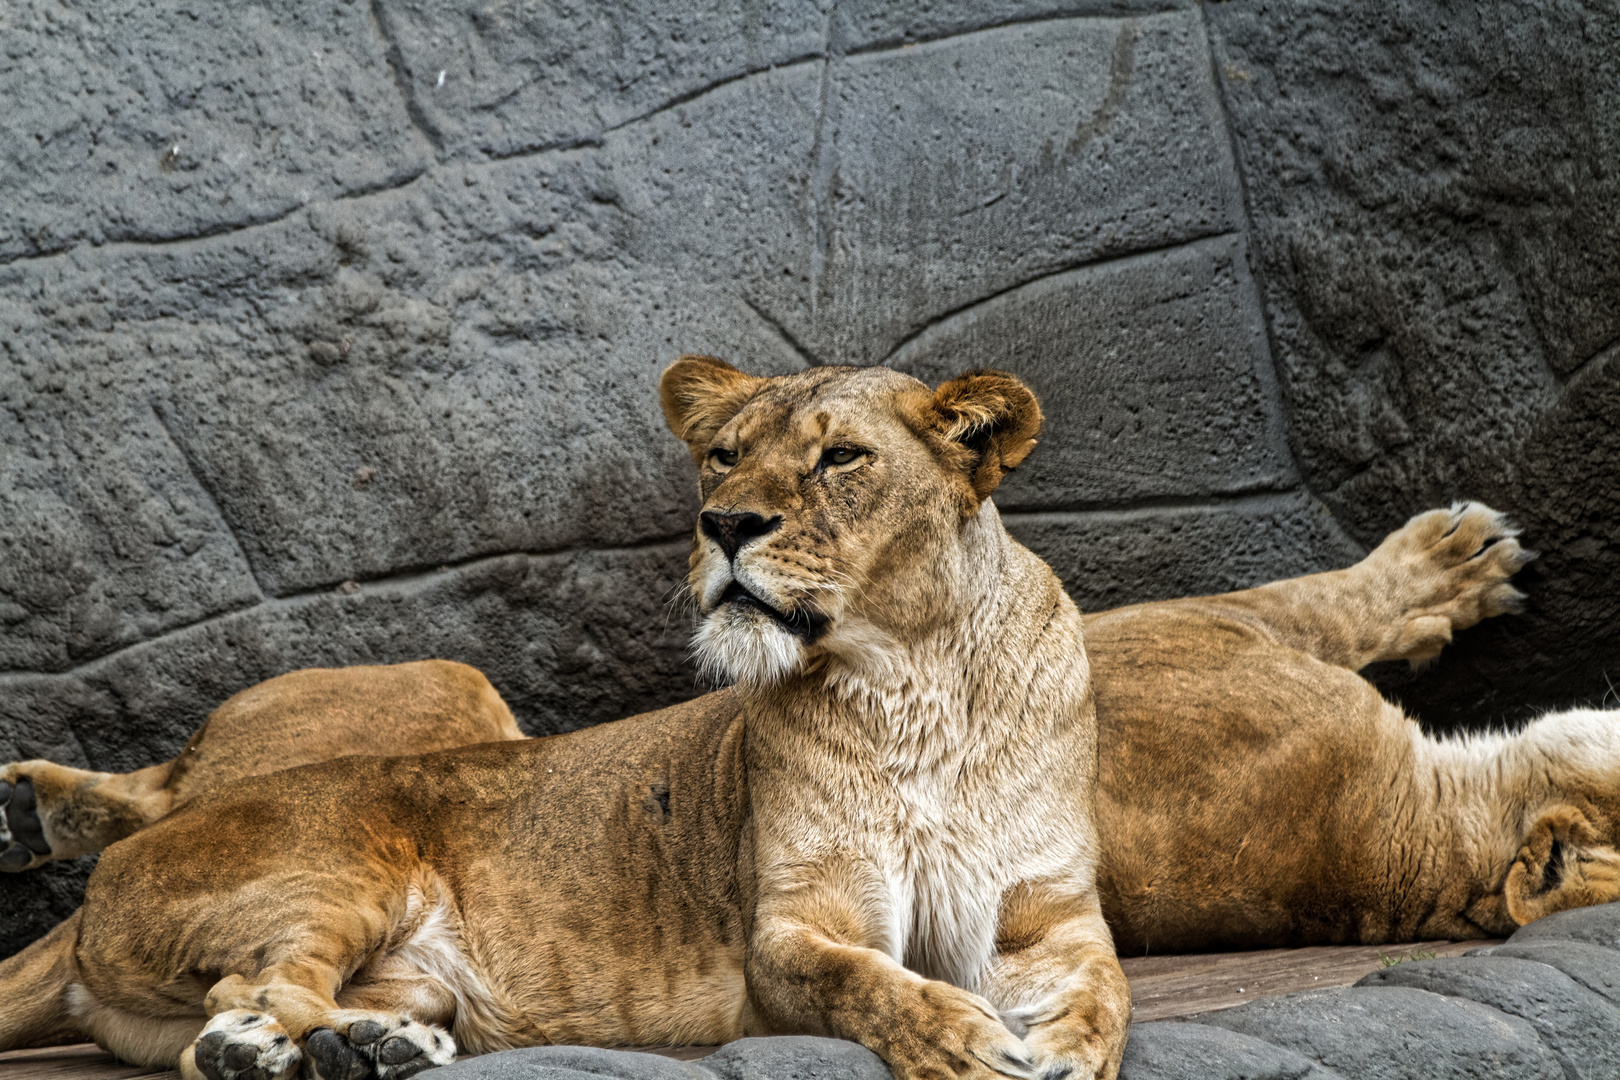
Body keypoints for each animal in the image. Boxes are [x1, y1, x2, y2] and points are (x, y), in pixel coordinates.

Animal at [0, 354, 1607, 1075]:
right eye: (721, 454)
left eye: (839, 459)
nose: (725, 523)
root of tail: (115, 876)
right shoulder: (803, 926)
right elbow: (868, 981)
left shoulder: (1045, 903)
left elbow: (1099, 985)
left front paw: (1068, 1041)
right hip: (367, 826)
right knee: (239, 996)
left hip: (417, 934)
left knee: (252, 1004)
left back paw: (356, 1049)